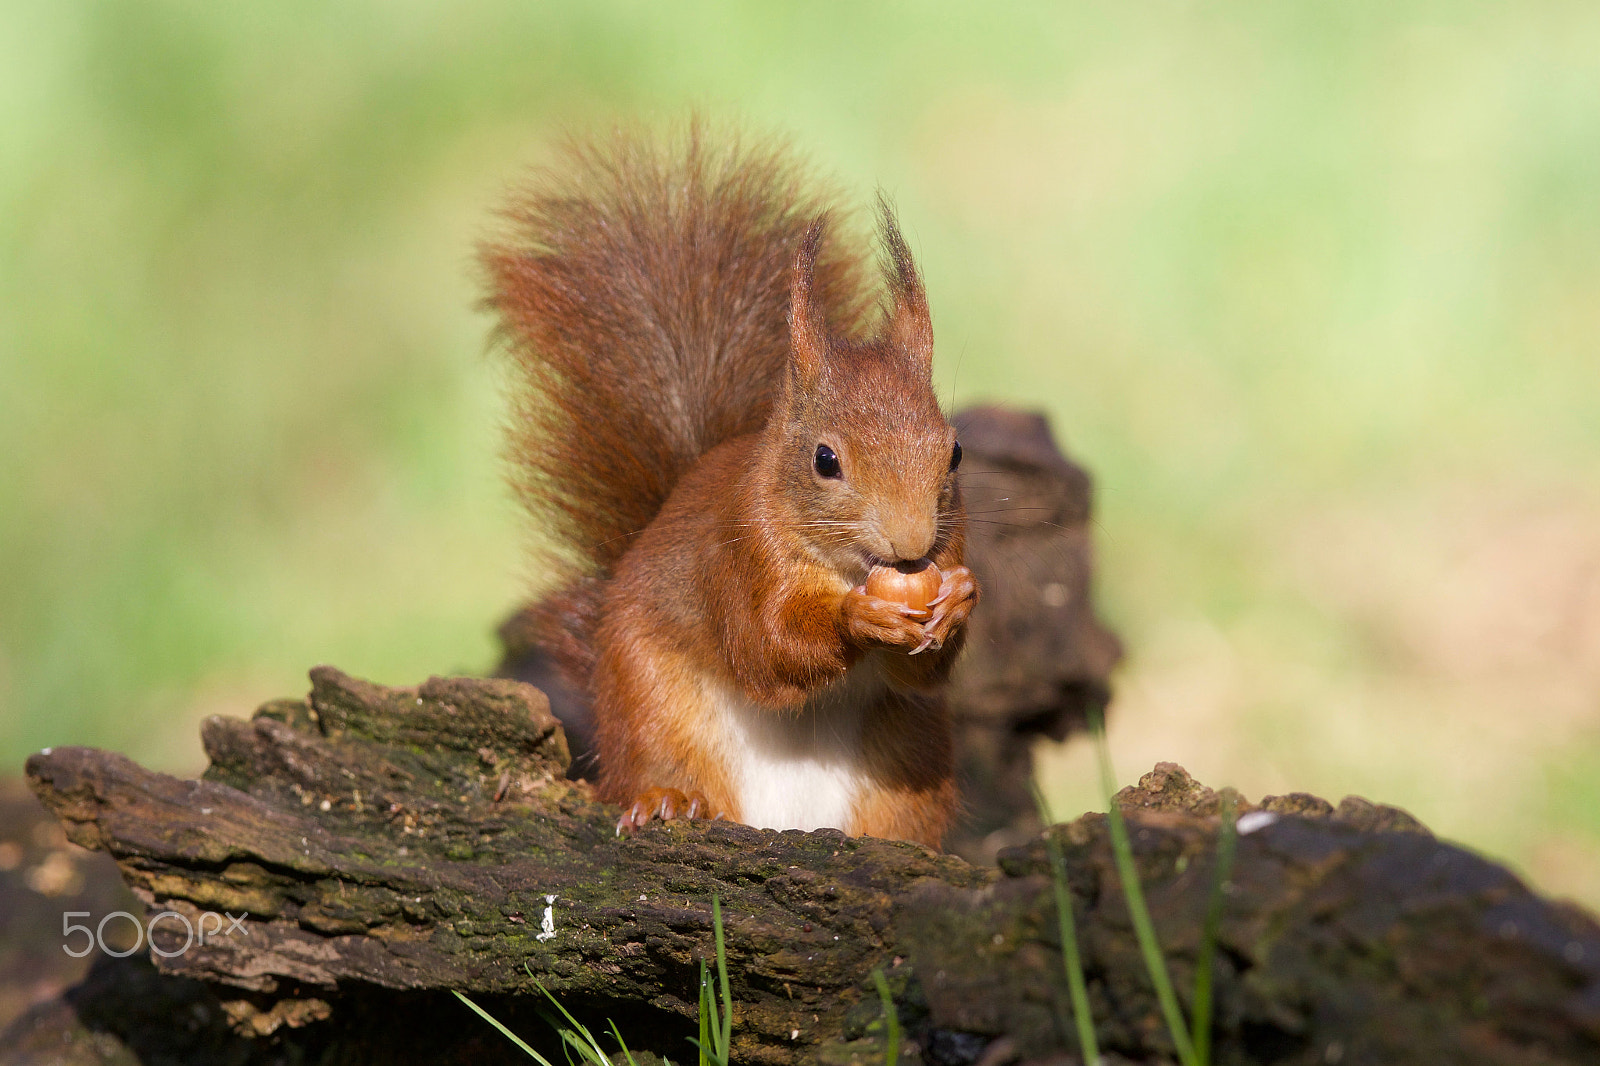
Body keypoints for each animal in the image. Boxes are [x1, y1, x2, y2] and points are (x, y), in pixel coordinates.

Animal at [480, 126, 972, 845]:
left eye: (955, 452)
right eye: (825, 459)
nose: (912, 547)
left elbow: (923, 671)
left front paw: (959, 601)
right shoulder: (737, 555)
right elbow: (766, 646)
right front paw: (858, 616)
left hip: (906, 756)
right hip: (653, 707)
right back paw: (667, 798)